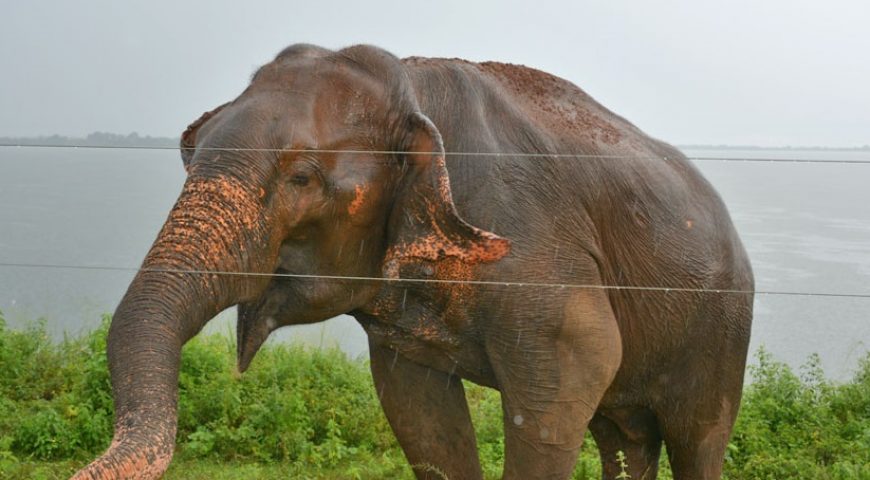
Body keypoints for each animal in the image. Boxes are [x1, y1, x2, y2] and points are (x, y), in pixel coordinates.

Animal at [73, 43, 756, 478]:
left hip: (721, 327)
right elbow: (418, 410)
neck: (408, 84)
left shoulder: (537, 245)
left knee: (698, 438)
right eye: (188, 156)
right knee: (623, 437)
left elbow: (575, 371)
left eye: (301, 177)